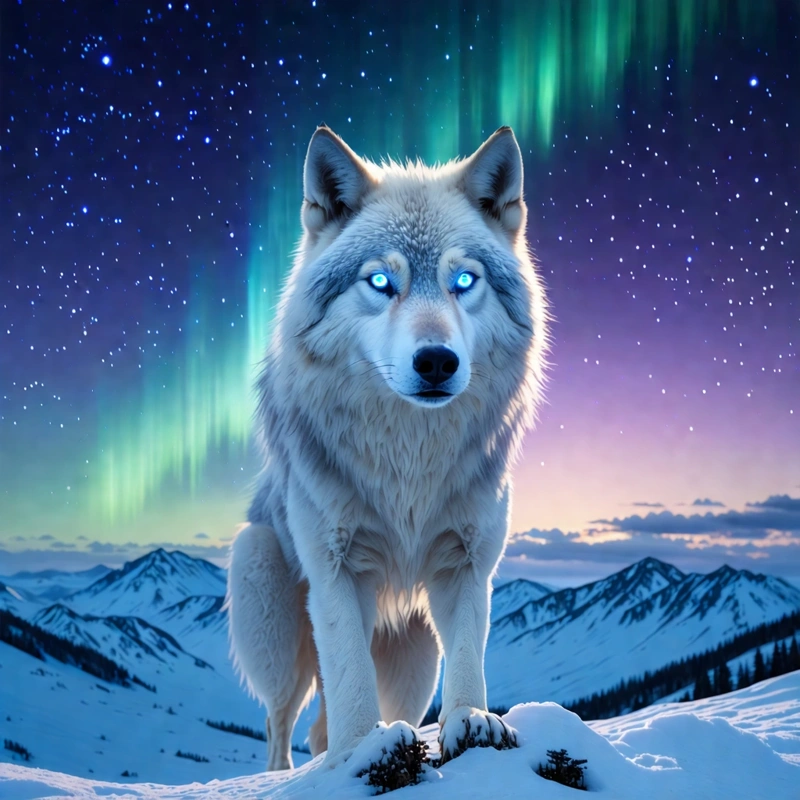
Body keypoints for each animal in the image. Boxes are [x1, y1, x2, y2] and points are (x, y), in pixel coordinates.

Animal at [225, 124, 549, 771]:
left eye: (463, 281)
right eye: (380, 282)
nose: (437, 361)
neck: (410, 461)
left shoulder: (467, 563)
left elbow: (468, 656)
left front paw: (471, 722)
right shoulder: (335, 569)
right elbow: (349, 675)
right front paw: (360, 751)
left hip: (413, 654)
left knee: (341, 720)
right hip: (268, 599)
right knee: (280, 724)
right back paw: (291, 771)